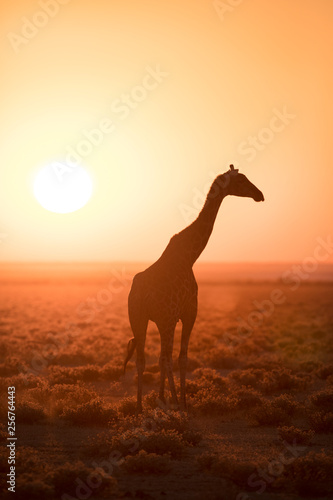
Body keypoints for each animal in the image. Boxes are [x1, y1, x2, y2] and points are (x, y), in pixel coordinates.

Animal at [123, 164, 264, 410]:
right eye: (242, 181)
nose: (260, 195)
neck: (191, 256)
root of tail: (141, 294)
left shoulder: (167, 318)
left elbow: (164, 358)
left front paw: (162, 397)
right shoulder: (189, 313)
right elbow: (182, 358)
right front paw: (182, 400)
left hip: (138, 318)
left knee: (142, 359)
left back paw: (140, 406)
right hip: (164, 319)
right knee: (167, 358)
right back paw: (174, 402)